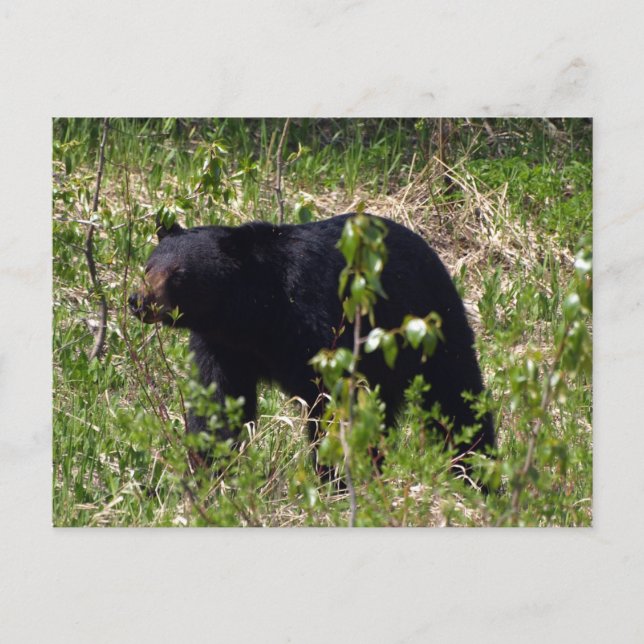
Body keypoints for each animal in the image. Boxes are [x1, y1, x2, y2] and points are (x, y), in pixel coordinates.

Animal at [129, 213, 494, 479]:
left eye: (178, 274)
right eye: (148, 266)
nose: (138, 301)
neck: (253, 313)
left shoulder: (317, 321)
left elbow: (334, 403)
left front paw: (334, 475)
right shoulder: (222, 346)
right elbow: (217, 402)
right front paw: (209, 469)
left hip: (430, 328)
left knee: (456, 398)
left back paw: (476, 471)